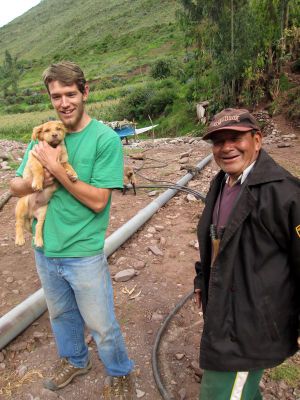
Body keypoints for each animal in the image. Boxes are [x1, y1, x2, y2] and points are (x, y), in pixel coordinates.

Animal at [15, 120, 77, 248]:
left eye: (58, 128)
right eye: (47, 130)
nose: (55, 135)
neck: (53, 148)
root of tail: (30, 213)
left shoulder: (62, 162)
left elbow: (68, 165)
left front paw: (73, 174)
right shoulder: (33, 158)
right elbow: (39, 169)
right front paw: (38, 184)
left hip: (43, 212)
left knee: (38, 227)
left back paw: (38, 240)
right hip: (21, 205)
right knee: (18, 223)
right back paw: (19, 239)